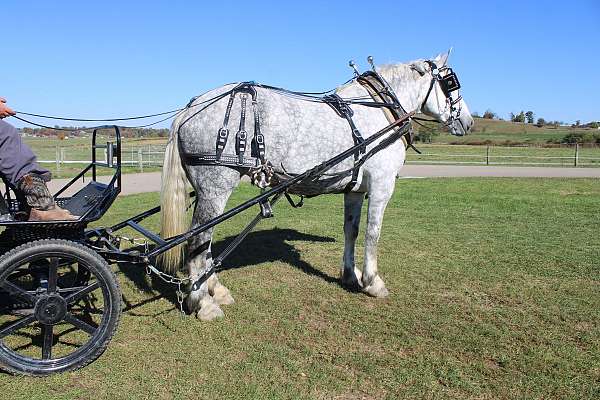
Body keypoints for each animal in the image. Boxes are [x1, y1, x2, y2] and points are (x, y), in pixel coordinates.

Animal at [159, 50, 474, 318]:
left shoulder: (355, 190)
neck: (380, 109)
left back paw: (216, 290)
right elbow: (373, 234)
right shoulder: (382, 186)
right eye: (451, 83)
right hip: (215, 188)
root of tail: (192, 106)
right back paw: (203, 301)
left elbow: (352, 231)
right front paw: (373, 282)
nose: (468, 122)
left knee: (205, 245)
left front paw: (350, 276)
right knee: (198, 241)